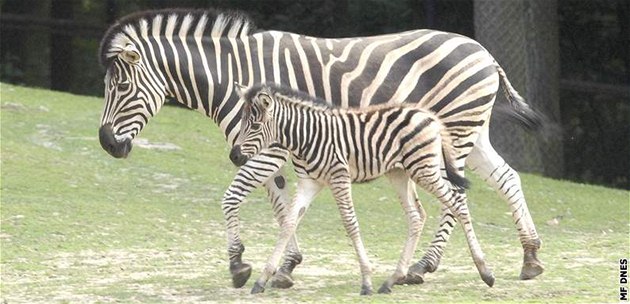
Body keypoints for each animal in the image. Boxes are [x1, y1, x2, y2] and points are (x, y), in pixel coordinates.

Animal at [232, 83, 498, 294]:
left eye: (255, 126)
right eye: (243, 123)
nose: (234, 156)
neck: (306, 137)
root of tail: (429, 115)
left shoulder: (339, 176)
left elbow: (350, 224)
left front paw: (366, 281)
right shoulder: (309, 181)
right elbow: (288, 223)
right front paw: (262, 279)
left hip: (424, 170)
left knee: (457, 204)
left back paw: (485, 271)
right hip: (400, 173)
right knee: (416, 216)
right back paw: (392, 279)